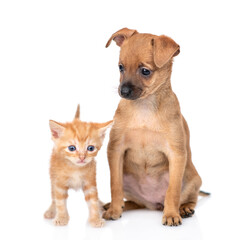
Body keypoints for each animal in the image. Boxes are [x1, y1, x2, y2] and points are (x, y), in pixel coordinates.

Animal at [103, 28, 204, 227]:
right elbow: (114, 185)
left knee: (189, 197)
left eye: (145, 71)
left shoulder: (176, 155)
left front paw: (171, 214)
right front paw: (114, 210)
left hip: (191, 178)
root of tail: (153, 204)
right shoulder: (116, 150)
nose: (123, 91)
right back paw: (116, 205)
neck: (145, 109)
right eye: (120, 67)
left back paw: (183, 209)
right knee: (134, 201)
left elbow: (172, 190)